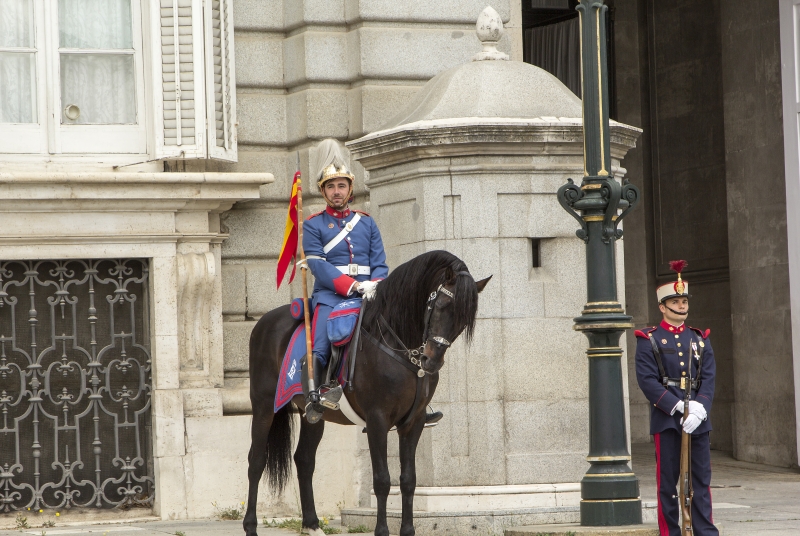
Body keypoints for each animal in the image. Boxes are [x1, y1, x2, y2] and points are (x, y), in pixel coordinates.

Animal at [244, 250, 490, 536]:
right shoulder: (377, 420)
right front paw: (382, 530)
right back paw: (250, 526)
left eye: (463, 320)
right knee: (256, 460)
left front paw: (407, 530)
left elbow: (408, 480)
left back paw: (313, 524)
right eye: (440, 305)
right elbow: (382, 480)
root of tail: (265, 320)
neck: (397, 344)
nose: (430, 361)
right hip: (263, 406)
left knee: (304, 460)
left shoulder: (414, 422)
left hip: (313, 415)